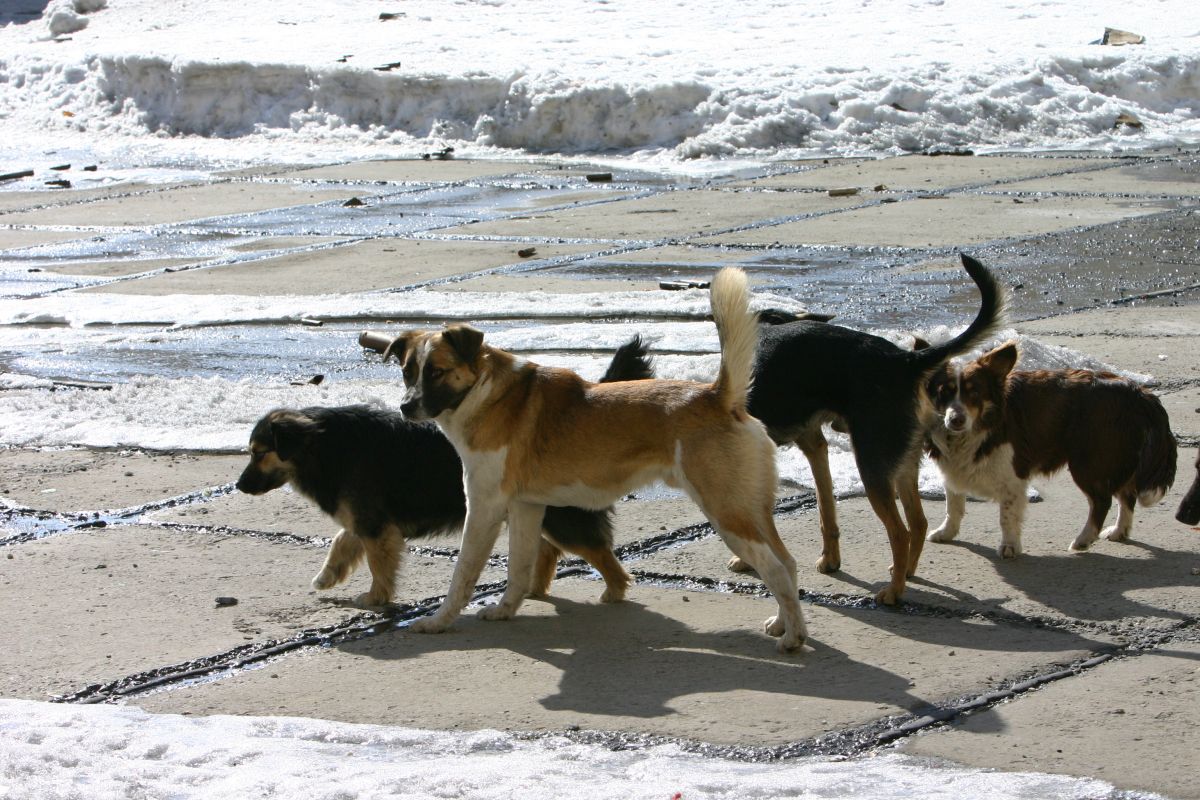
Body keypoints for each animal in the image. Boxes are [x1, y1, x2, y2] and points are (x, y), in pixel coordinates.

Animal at [235, 338, 657, 606]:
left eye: (259, 453)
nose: (238, 485)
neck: (322, 445)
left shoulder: (375, 523)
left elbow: (376, 562)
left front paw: (375, 598)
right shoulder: (367, 516)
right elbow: (343, 541)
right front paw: (329, 575)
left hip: (562, 516)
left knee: (597, 552)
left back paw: (613, 592)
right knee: (547, 549)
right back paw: (532, 590)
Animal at [388, 267, 811, 652]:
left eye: (436, 371)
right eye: (408, 371)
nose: (405, 407)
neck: (486, 394)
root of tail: (717, 397)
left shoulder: (483, 510)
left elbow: (463, 574)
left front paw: (438, 621)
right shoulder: (526, 508)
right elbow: (519, 569)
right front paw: (506, 610)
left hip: (727, 514)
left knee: (775, 568)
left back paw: (792, 638)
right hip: (750, 511)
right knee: (787, 564)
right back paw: (783, 623)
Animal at [739, 253, 1003, 604]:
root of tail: (904, 361)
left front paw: (744, 559)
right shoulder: (814, 445)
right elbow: (826, 511)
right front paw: (830, 560)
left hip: (872, 464)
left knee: (900, 531)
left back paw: (893, 592)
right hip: (902, 461)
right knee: (918, 523)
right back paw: (905, 573)